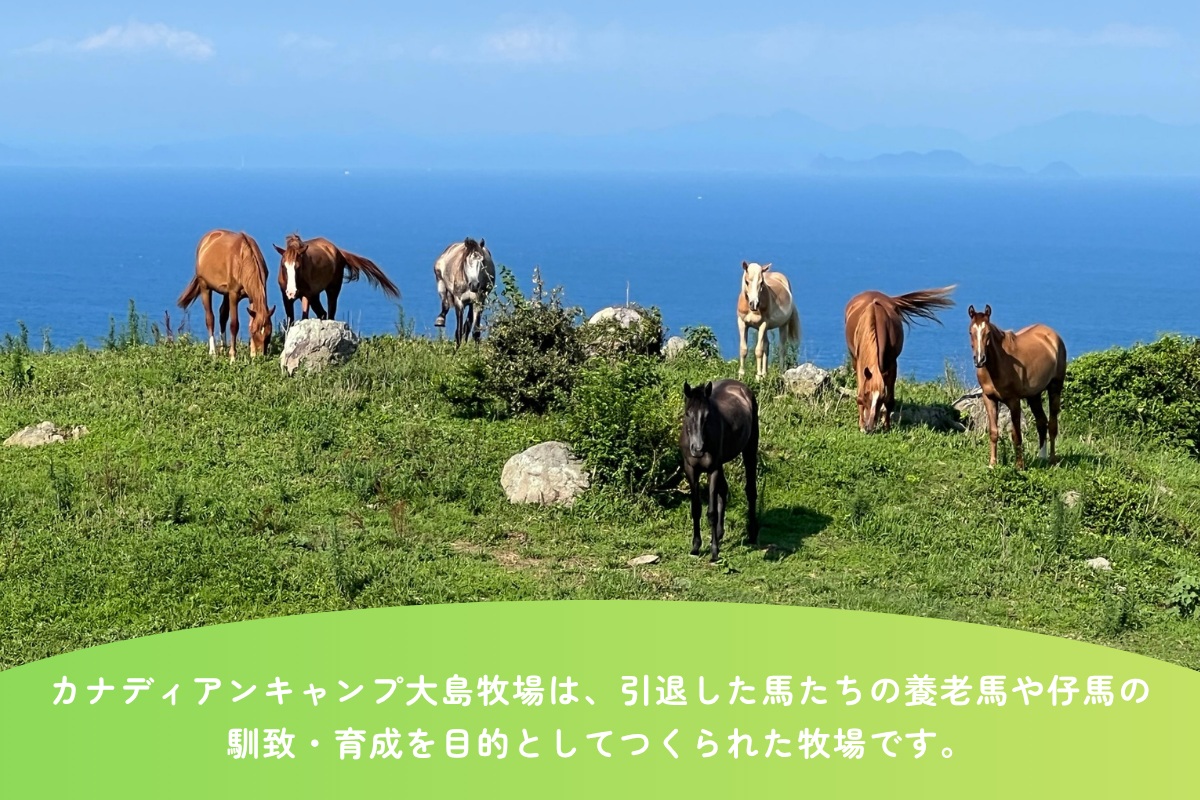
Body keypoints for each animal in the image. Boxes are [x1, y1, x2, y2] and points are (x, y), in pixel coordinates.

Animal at [177, 229, 276, 361]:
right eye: (255, 332)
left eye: (269, 333)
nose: (261, 356)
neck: (244, 260)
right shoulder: (233, 295)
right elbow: (234, 324)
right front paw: (233, 357)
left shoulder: (251, 297)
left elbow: (250, 322)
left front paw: (252, 355)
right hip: (205, 286)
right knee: (210, 318)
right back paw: (213, 352)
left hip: (225, 293)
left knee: (222, 315)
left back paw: (223, 348)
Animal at [680, 379, 760, 562]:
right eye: (688, 414)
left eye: (707, 415)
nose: (698, 449)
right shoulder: (691, 470)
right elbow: (696, 509)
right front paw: (696, 546)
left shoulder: (713, 470)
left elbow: (712, 513)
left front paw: (714, 552)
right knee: (723, 491)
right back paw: (718, 533)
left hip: (750, 449)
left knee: (750, 491)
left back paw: (752, 533)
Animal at [844, 286, 956, 433]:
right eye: (867, 393)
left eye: (881, 396)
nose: (869, 427)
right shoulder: (859, 363)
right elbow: (859, 394)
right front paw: (862, 425)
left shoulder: (892, 365)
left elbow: (889, 400)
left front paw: (886, 426)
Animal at [967, 304, 1067, 469]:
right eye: (971, 332)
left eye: (987, 332)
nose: (980, 359)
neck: (997, 365)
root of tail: (1053, 336)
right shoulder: (989, 398)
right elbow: (993, 432)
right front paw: (992, 464)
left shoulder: (1014, 401)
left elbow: (1016, 435)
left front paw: (1019, 466)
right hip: (1034, 395)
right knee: (1041, 422)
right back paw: (1042, 457)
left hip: (1055, 387)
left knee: (1052, 424)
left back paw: (1052, 460)